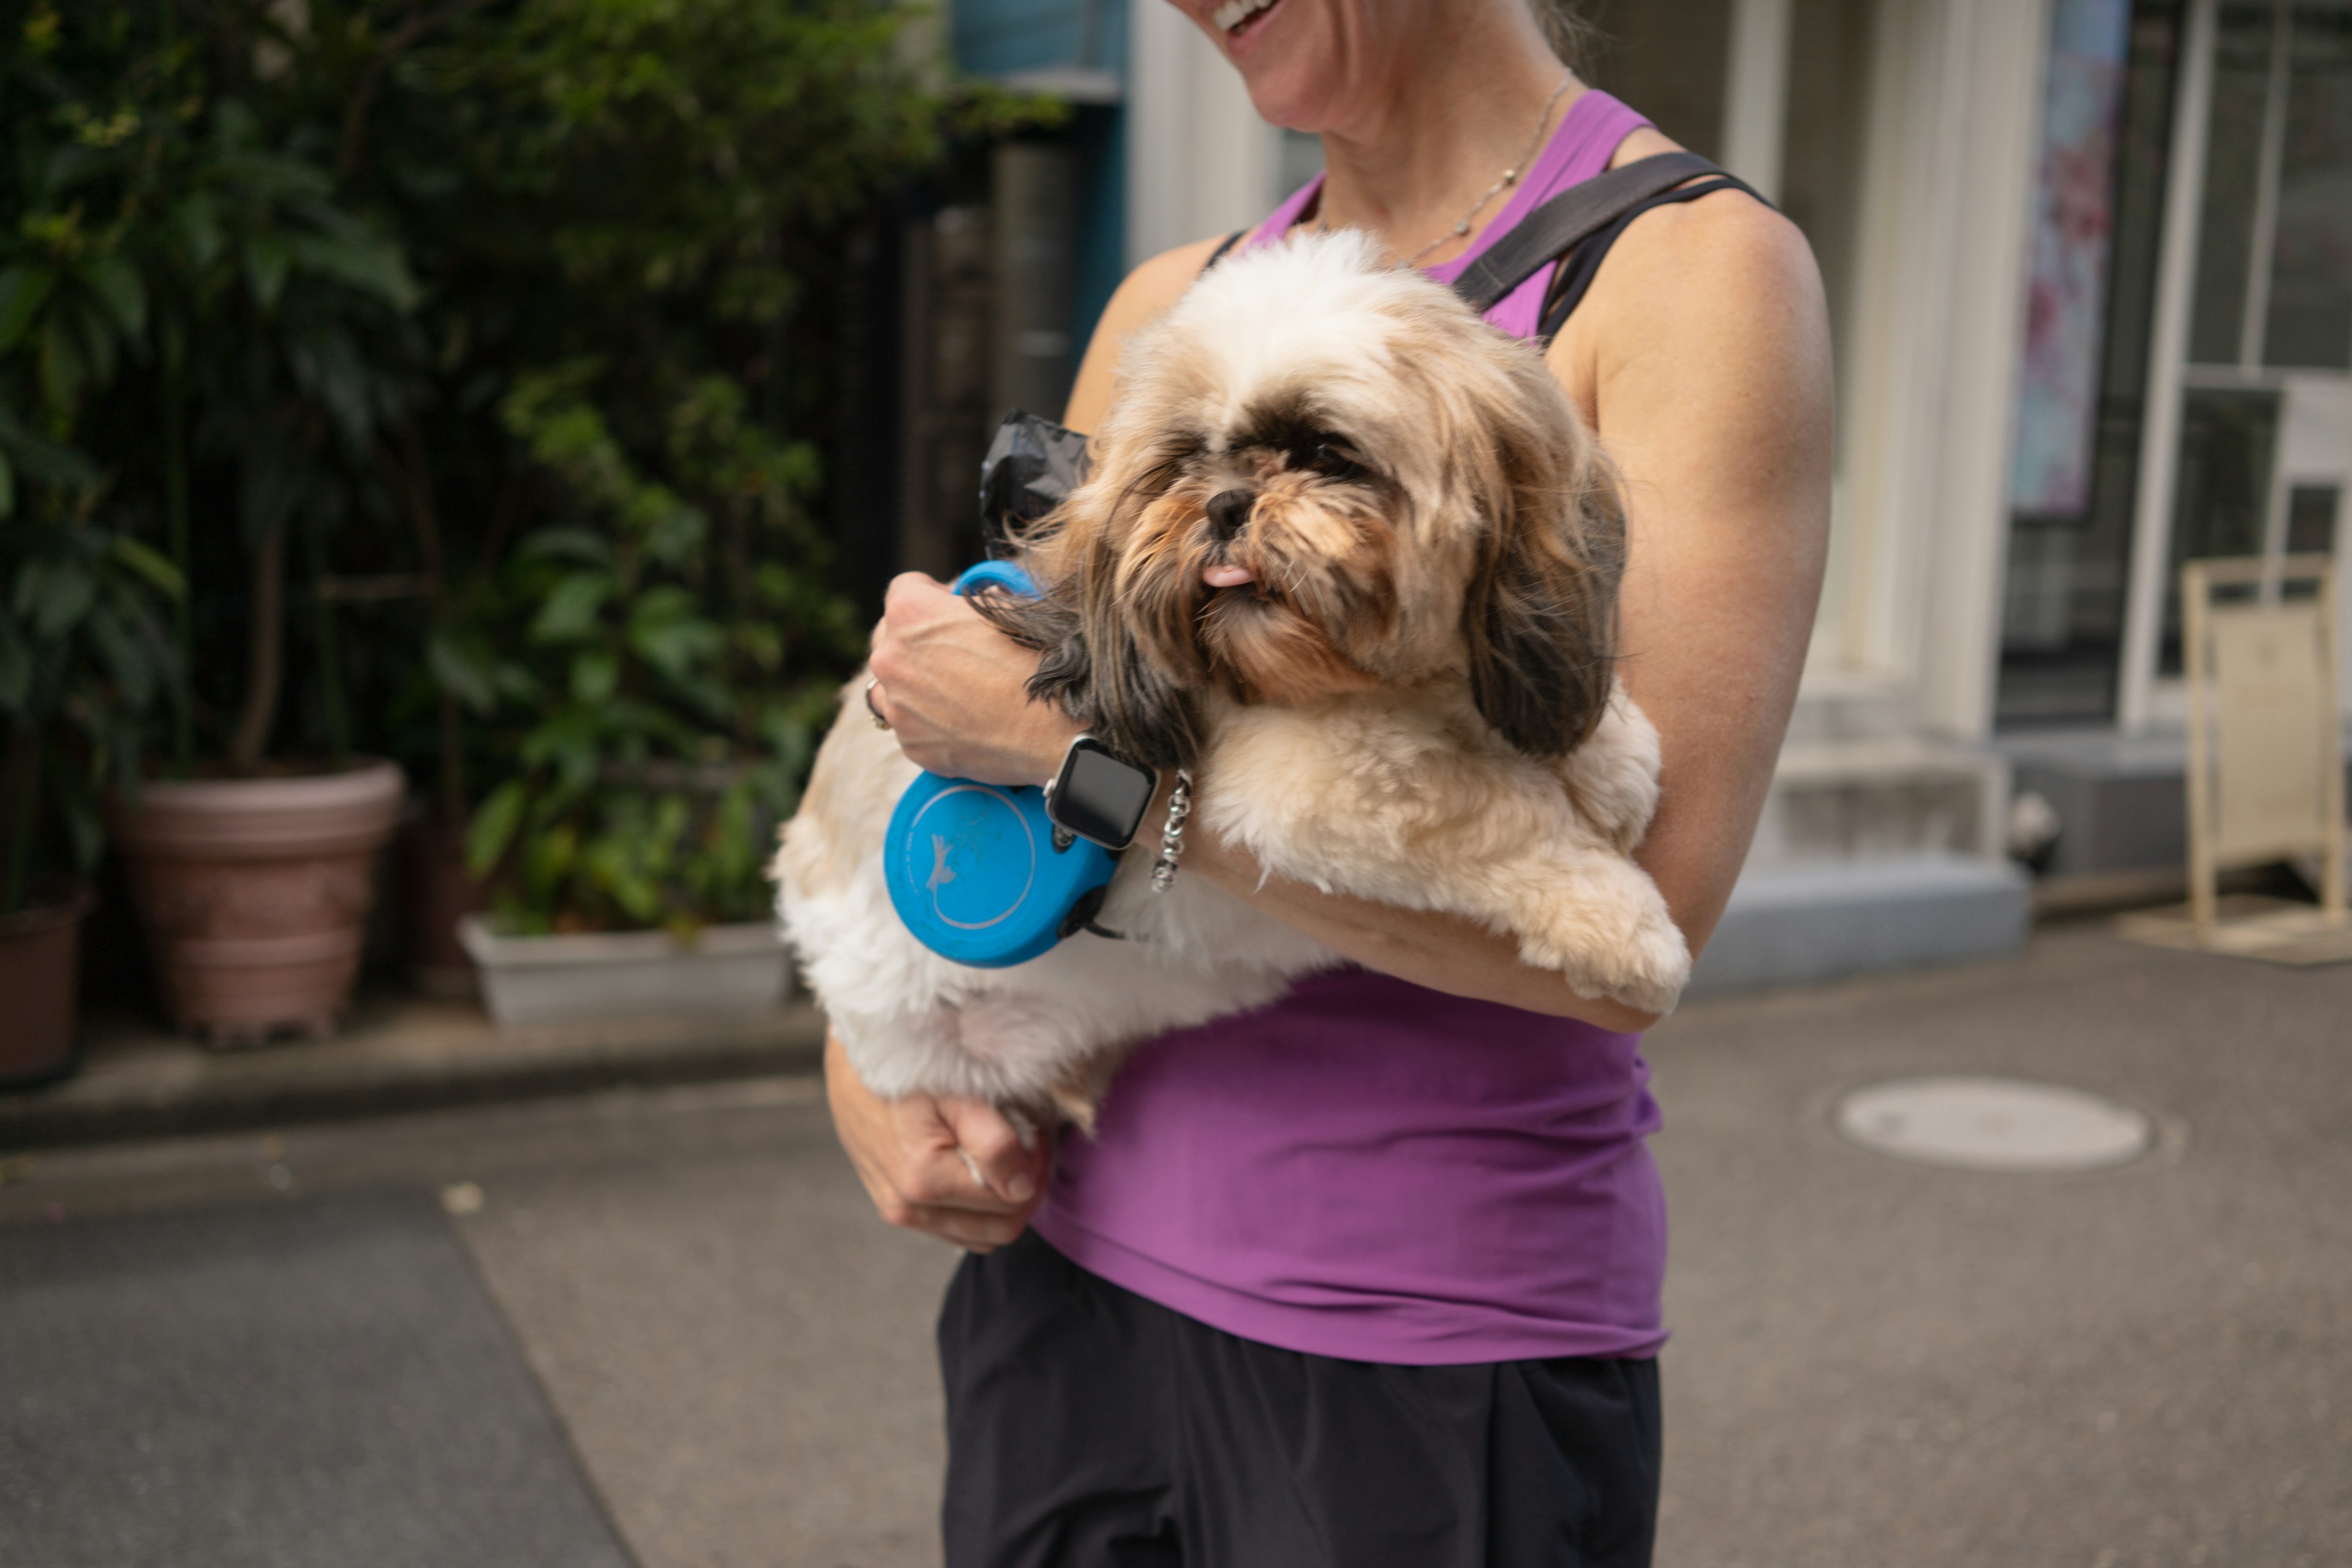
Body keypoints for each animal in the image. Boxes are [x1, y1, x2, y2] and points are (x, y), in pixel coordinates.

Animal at [776, 227, 1693, 1128]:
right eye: (1184, 462)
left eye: (1327, 454)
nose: (1224, 502)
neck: (1383, 685)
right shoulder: (1323, 779)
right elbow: (1487, 801)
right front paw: (1624, 928)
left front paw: (1612, 760)